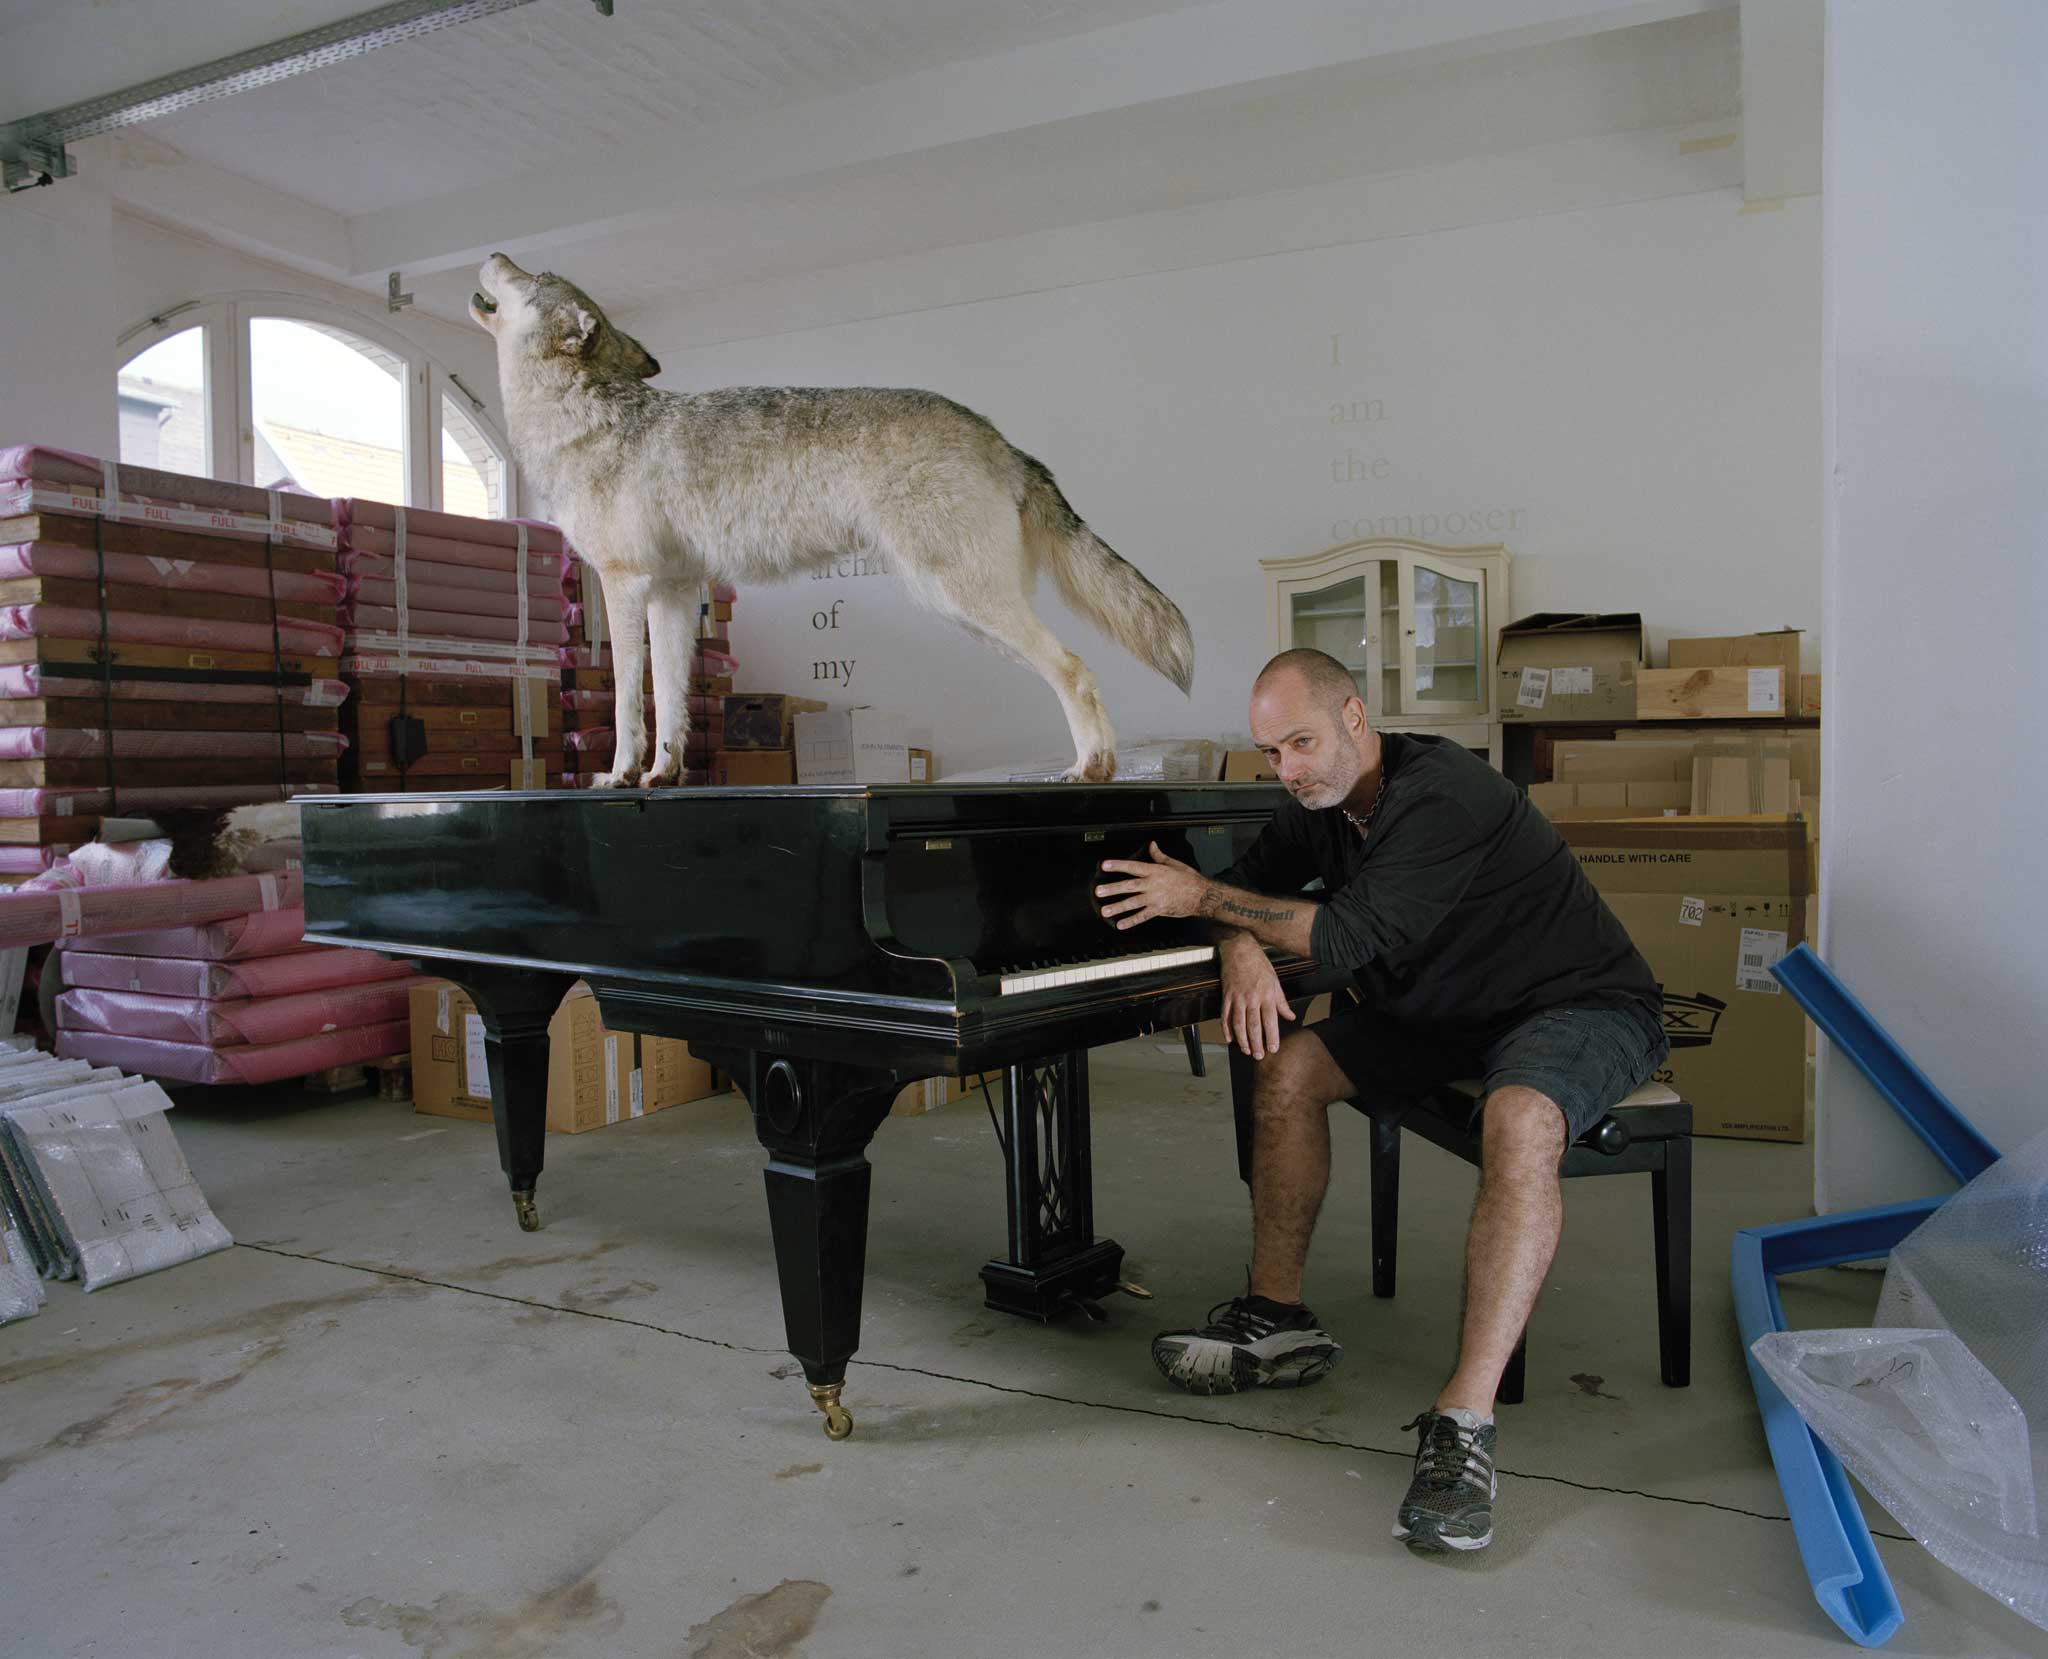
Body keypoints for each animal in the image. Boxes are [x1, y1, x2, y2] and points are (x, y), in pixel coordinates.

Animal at [468, 251, 1196, 782]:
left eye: (533, 277)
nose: (496, 251)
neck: (585, 420)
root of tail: (1003, 440)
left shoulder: (624, 586)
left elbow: (626, 704)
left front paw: (619, 776)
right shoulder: (672, 593)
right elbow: (671, 709)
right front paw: (659, 778)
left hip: (962, 599)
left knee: (1074, 668)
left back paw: (1090, 768)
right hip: (966, 609)